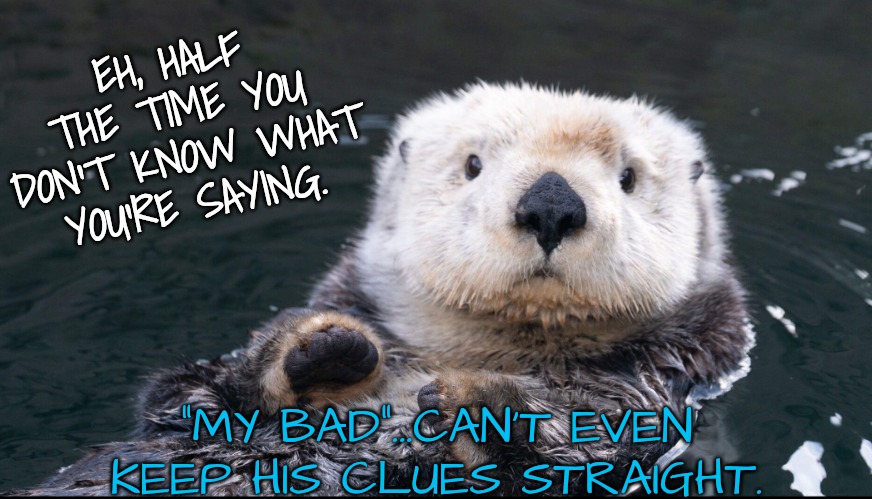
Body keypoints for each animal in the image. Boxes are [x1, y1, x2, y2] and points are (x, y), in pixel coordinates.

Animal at [11, 82, 754, 496]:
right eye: (473, 164)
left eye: (628, 177)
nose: (551, 204)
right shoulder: (183, 405)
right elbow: (189, 396)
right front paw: (322, 348)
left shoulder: (648, 394)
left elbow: (574, 450)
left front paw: (475, 401)